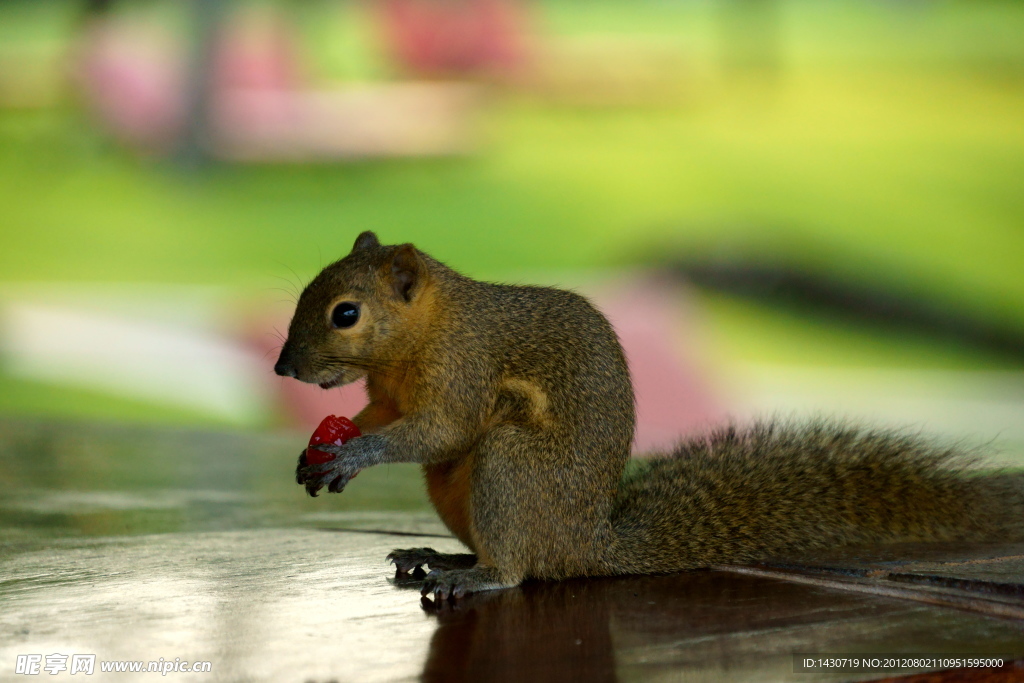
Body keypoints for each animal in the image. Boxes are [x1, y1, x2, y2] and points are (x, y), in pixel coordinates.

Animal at [272, 232, 1024, 602]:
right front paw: (320, 453)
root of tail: (592, 547)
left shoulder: (465, 370)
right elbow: (378, 414)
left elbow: (439, 429)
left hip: (511, 467)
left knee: (524, 567)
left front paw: (352, 454)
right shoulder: (388, 394)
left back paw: (476, 574)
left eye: (346, 313)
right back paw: (440, 553)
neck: (425, 330)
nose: (284, 368)